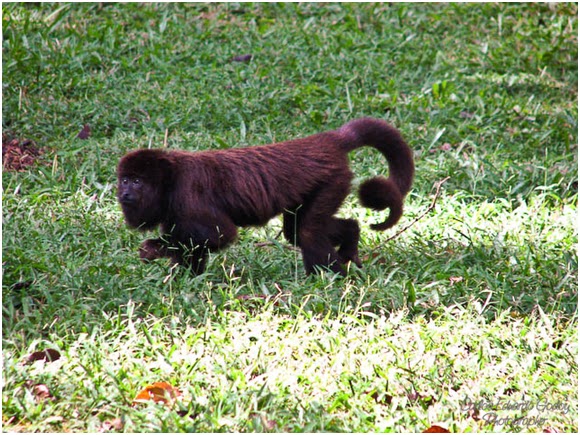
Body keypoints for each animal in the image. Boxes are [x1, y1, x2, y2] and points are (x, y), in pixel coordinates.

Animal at [116, 118, 412, 276]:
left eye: (138, 181)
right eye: (125, 179)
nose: (125, 192)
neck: (170, 179)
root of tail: (328, 140)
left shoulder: (187, 196)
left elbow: (219, 234)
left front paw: (155, 248)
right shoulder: (172, 211)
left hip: (333, 179)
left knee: (306, 231)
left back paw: (330, 279)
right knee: (296, 230)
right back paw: (351, 235)